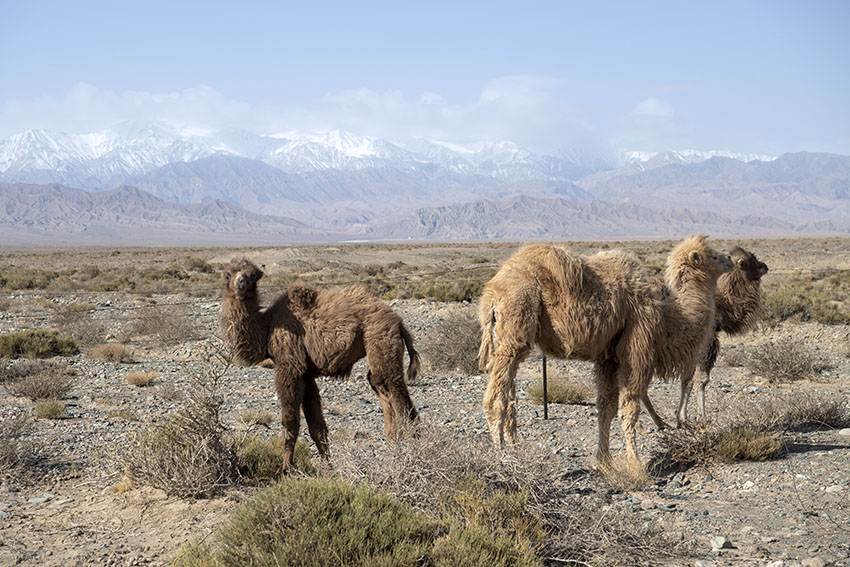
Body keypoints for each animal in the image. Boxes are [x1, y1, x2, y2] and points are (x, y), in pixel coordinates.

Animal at [219, 260, 418, 472]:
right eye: (228, 274)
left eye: (253, 276)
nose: (241, 283)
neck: (268, 327)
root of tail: (398, 322)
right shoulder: (306, 375)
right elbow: (317, 427)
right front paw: (328, 468)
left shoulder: (289, 368)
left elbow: (290, 422)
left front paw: (286, 469)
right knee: (380, 385)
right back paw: (394, 447)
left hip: (380, 338)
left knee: (398, 394)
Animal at [476, 235, 728, 466]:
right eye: (712, 256)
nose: (729, 258)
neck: (667, 318)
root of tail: (491, 293)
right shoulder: (637, 346)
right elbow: (630, 407)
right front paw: (635, 464)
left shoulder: (608, 357)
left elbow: (606, 408)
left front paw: (604, 460)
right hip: (515, 325)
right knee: (494, 400)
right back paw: (503, 460)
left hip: (505, 338)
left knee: (509, 397)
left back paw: (517, 453)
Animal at [644, 246, 768, 428]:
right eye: (750, 261)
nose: (764, 266)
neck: (722, 303)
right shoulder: (706, 341)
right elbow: (699, 379)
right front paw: (698, 418)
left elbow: (688, 379)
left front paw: (682, 417)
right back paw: (658, 422)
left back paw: (658, 422)